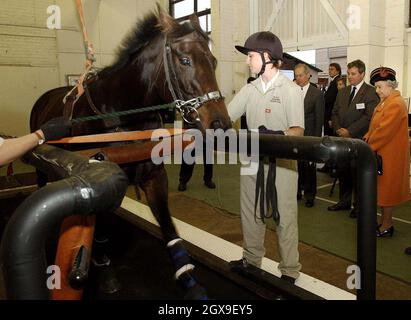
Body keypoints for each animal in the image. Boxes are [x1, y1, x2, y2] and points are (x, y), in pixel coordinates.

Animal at [30, 6, 232, 298]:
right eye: (184, 60)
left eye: (213, 61)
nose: (220, 123)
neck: (122, 114)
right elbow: (99, 228)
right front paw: (104, 268)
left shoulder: (154, 177)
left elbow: (169, 229)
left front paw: (189, 281)